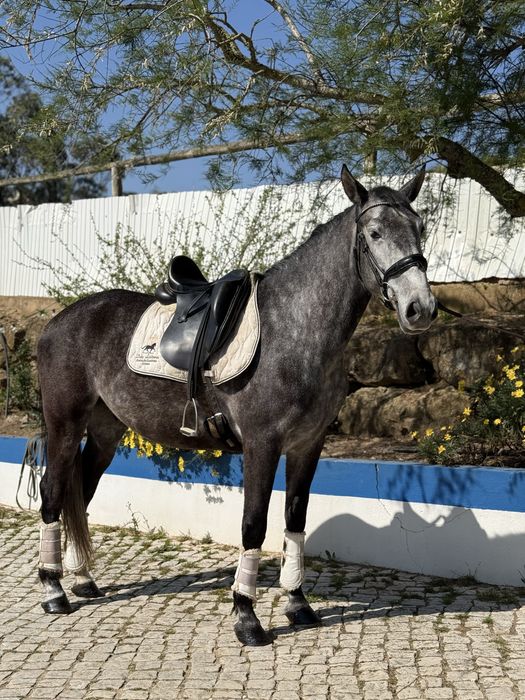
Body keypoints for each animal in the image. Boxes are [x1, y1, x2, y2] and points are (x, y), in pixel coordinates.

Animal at [36, 166, 437, 646]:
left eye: (419, 227)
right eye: (374, 233)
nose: (420, 308)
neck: (294, 329)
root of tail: (59, 321)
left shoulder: (307, 445)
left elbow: (295, 521)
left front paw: (297, 604)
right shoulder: (262, 444)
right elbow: (254, 524)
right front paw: (246, 616)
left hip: (104, 433)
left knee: (81, 490)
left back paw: (82, 579)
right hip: (64, 424)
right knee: (53, 491)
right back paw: (54, 590)